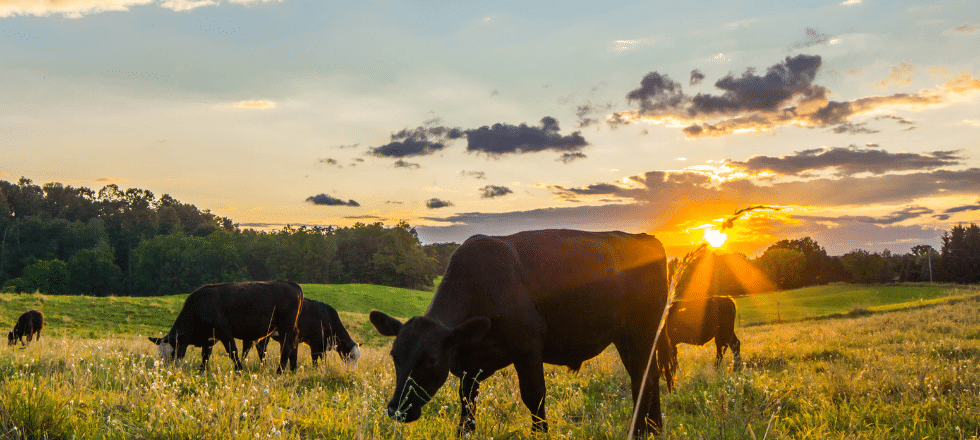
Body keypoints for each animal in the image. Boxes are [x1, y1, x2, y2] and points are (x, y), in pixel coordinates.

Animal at [147, 280, 302, 372]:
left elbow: (232, 352)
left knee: (287, 347)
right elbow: (205, 355)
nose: (167, 371)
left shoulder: (224, 332)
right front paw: (202, 371)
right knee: (292, 346)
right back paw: (292, 369)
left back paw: (280, 371)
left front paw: (239, 370)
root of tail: (291, 283)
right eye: (160, 355)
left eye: (173, 353)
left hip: (285, 327)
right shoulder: (209, 338)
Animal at [368, 230, 672, 436]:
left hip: (641, 333)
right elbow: (467, 404)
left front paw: (541, 433)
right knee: (648, 376)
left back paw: (643, 430)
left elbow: (534, 396)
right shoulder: (469, 365)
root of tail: (645, 238)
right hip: (629, 337)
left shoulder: (528, 347)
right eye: (394, 356)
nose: (396, 409)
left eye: (431, 360)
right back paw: (652, 428)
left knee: (644, 377)